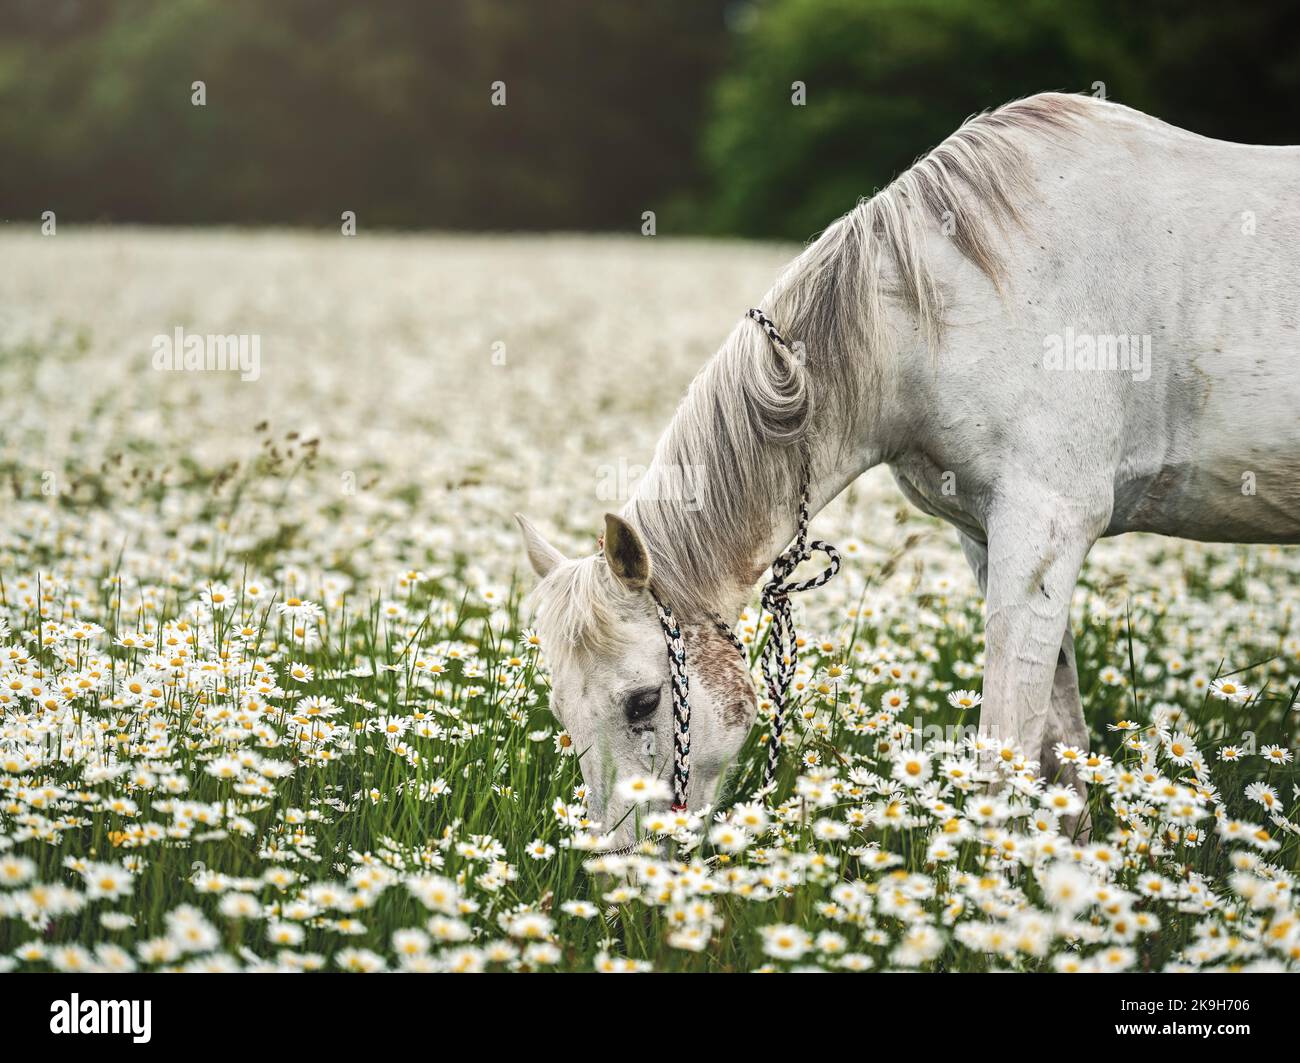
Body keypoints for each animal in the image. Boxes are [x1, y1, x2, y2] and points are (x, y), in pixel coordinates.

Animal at [515, 92, 1300, 847]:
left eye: (644, 701)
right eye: (561, 708)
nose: (621, 871)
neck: (950, 311)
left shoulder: (1044, 528)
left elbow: (1002, 756)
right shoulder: (991, 539)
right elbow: (1059, 747)